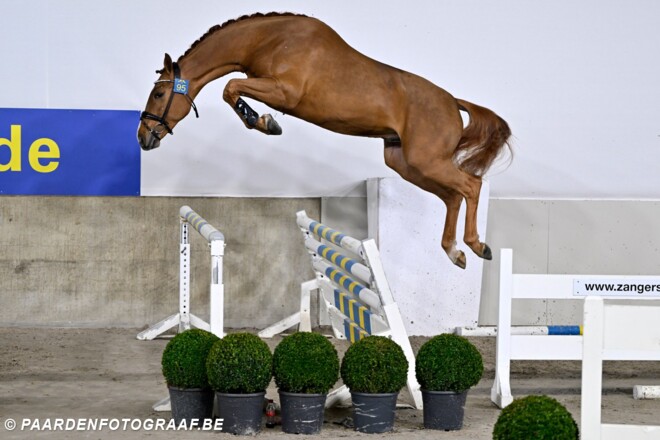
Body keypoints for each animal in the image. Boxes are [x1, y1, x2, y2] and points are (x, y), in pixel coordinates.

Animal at [137, 12, 511, 269]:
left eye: (158, 94)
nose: (143, 137)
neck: (268, 39)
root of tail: (453, 102)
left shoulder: (283, 92)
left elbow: (230, 88)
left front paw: (264, 123)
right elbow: (231, 89)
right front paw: (262, 121)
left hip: (426, 161)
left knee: (471, 185)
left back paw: (477, 246)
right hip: (407, 165)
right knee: (453, 196)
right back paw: (454, 252)